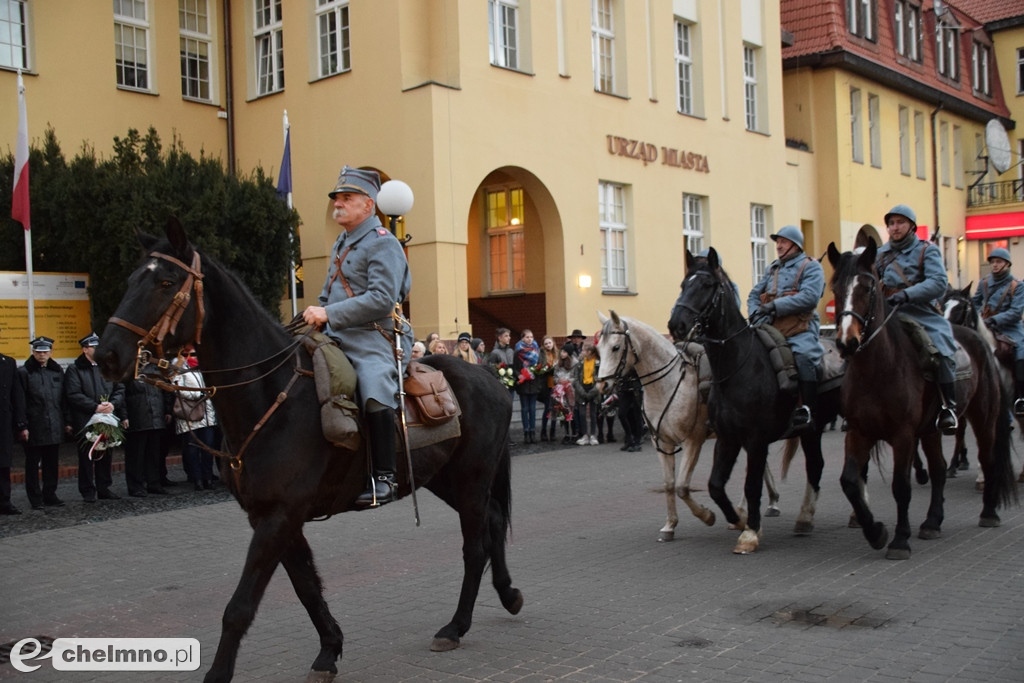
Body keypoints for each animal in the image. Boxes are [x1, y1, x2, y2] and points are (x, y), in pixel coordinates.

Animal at [95, 220, 524, 683]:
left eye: (166, 281)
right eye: (131, 281)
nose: (107, 354)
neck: (270, 396)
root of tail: (490, 377)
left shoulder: (279, 515)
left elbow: (240, 606)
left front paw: (219, 673)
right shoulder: (272, 516)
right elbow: (306, 586)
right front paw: (329, 650)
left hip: (471, 479)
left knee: (475, 546)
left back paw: (456, 626)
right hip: (445, 479)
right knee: (494, 522)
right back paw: (508, 594)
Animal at [598, 313, 778, 540]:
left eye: (615, 347)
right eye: (598, 348)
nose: (602, 385)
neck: (669, 383)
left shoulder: (693, 441)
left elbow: (682, 486)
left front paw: (707, 516)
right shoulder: (662, 443)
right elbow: (669, 484)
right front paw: (669, 526)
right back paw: (765, 505)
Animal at [663, 249, 839, 557]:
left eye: (707, 285)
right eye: (684, 284)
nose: (677, 325)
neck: (738, 367)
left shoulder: (756, 440)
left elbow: (752, 485)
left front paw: (750, 533)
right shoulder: (728, 438)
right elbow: (716, 485)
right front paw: (738, 519)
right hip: (812, 431)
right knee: (816, 466)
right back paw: (805, 519)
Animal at [831, 240, 1015, 561]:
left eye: (867, 287)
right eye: (835, 288)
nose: (846, 342)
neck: (877, 368)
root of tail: (982, 343)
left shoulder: (903, 435)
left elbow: (900, 486)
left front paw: (899, 540)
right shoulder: (858, 431)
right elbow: (850, 482)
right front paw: (876, 532)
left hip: (983, 418)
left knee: (987, 458)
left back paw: (989, 512)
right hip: (930, 430)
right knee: (939, 469)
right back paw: (932, 522)